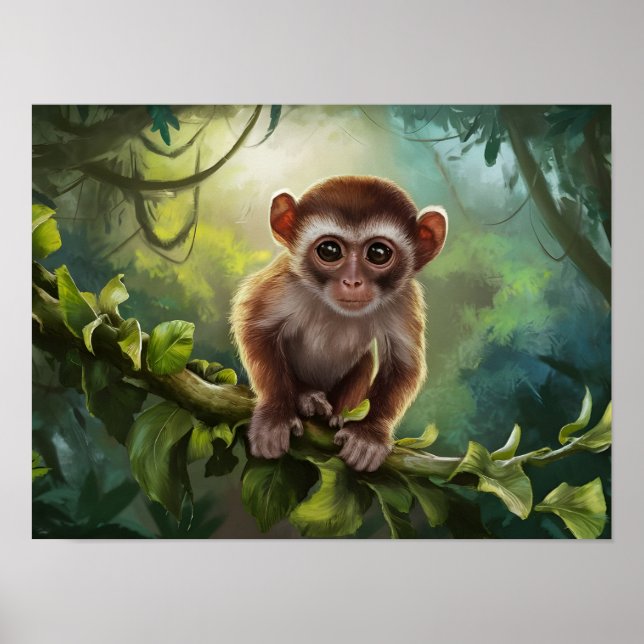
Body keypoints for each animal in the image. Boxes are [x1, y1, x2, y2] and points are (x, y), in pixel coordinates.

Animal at [231, 176, 447, 472]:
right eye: (330, 250)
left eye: (378, 253)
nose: (352, 281)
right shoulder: (285, 280)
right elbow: (254, 327)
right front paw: (275, 415)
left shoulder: (404, 298)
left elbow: (404, 364)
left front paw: (368, 436)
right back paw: (307, 397)